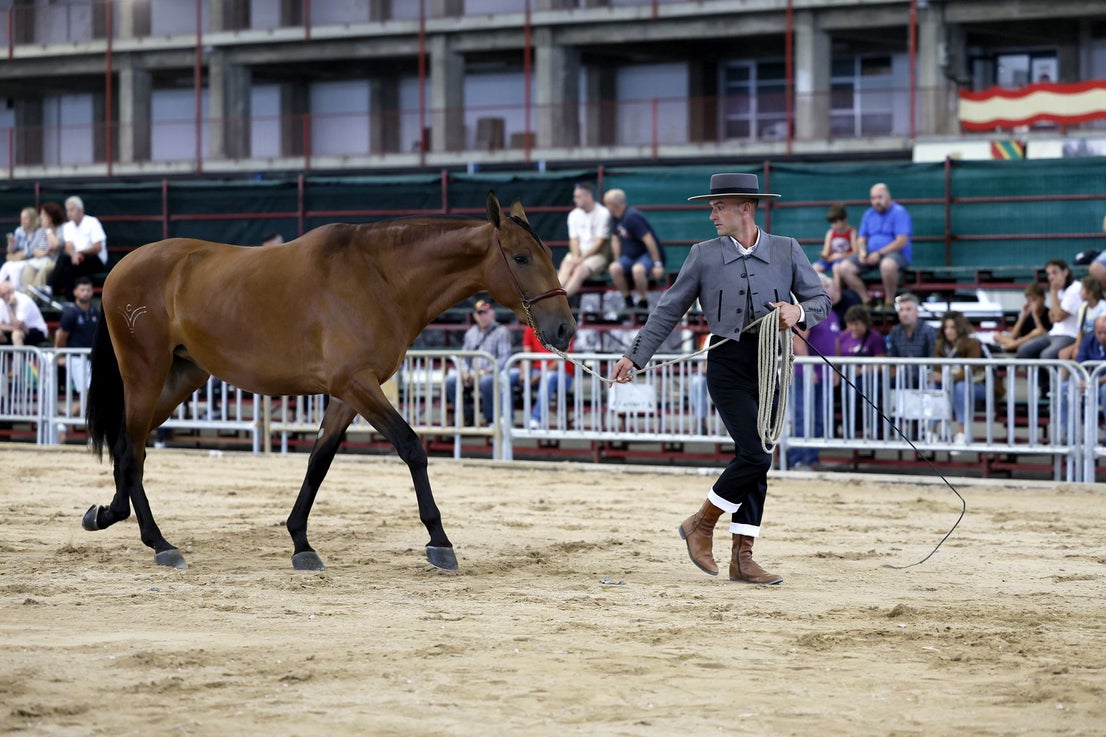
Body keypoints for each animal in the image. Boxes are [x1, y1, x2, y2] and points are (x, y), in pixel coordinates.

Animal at [83, 193, 575, 572]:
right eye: (521, 258)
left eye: (551, 256)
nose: (565, 329)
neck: (379, 278)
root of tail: (120, 269)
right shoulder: (356, 384)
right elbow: (411, 446)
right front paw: (439, 541)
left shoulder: (347, 394)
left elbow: (318, 462)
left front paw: (301, 543)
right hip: (145, 374)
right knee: (132, 450)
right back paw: (160, 543)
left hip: (181, 377)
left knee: (130, 447)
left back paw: (108, 514)